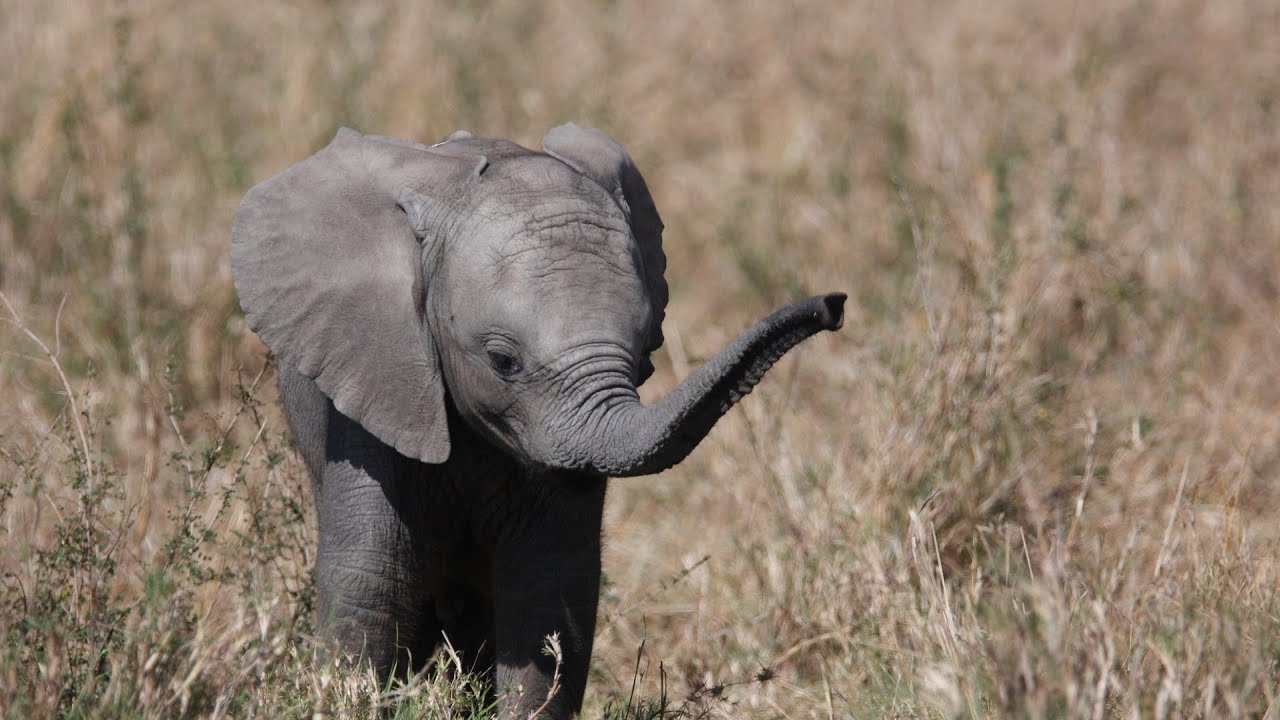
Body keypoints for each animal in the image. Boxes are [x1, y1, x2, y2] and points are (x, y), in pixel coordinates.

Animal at [230, 123, 844, 718]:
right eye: (503, 360)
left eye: (646, 351)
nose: (834, 304)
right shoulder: (375, 375)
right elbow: (371, 581)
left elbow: (548, 591)